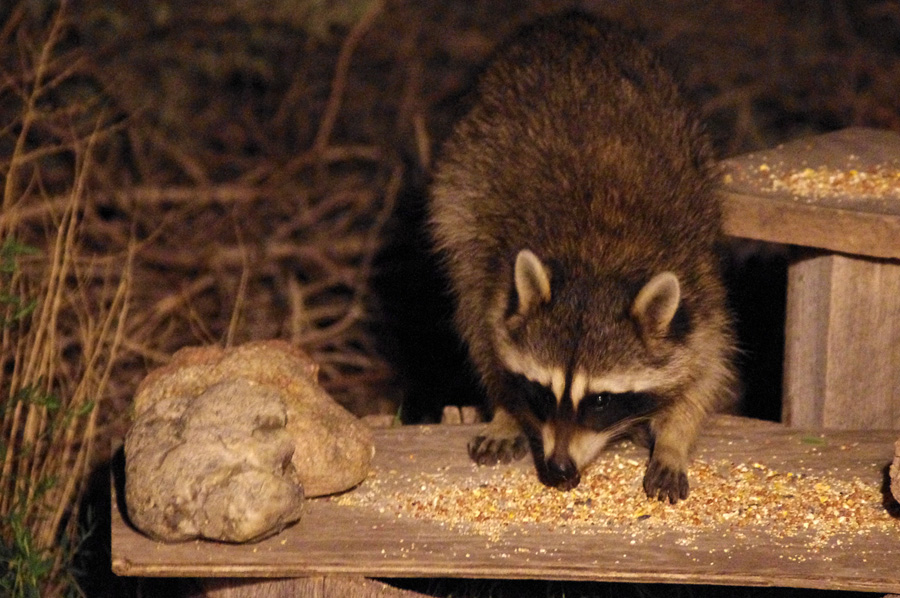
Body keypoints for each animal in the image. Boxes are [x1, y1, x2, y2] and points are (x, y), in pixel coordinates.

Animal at [430, 12, 740, 506]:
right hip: (461, 184)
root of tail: (570, 20)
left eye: (599, 401)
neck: (596, 262)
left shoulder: (700, 288)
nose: (560, 469)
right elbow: (489, 336)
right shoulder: (497, 276)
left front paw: (674, 439)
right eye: (542, 392)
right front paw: (508, 407)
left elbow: (705, 369)